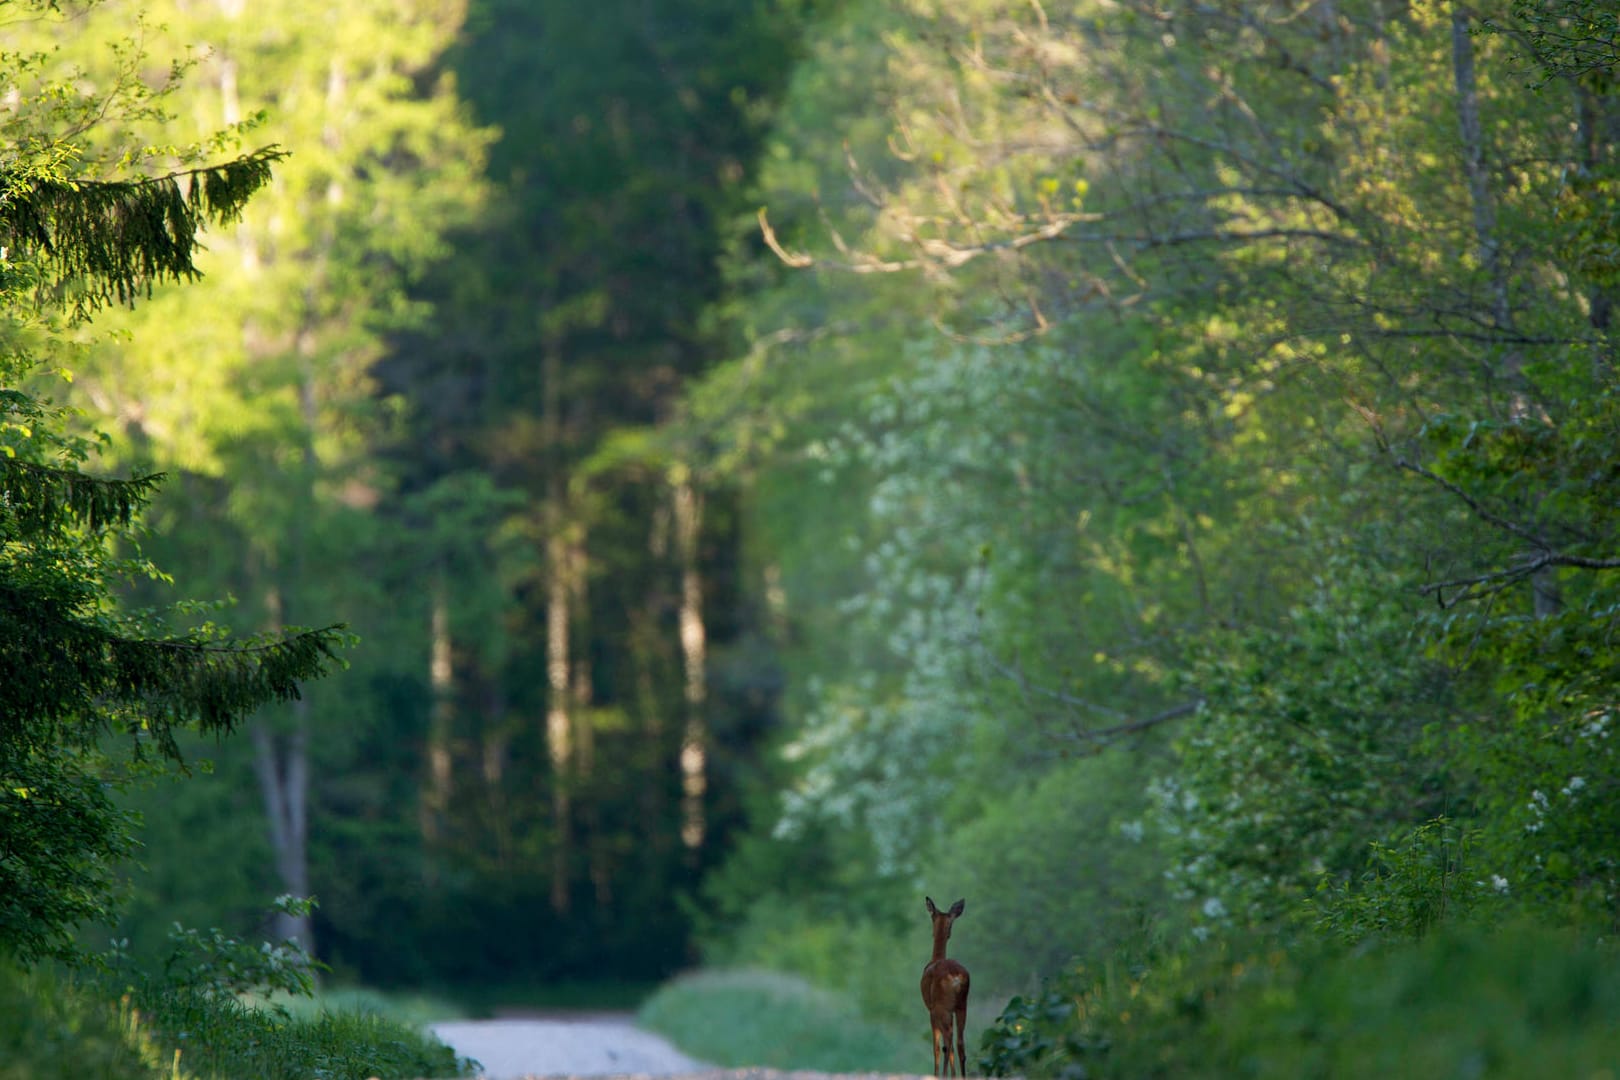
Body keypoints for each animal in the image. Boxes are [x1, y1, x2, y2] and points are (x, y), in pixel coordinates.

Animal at [920, 900, 965, 1075]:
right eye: (951, 922)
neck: (936, 958)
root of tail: (955, 976)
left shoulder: (931, 1011)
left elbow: (937, 1048)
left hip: (941, 1007)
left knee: (948, 1041)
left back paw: (944, 1075)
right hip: (961, 1005)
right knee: (959, 1043)